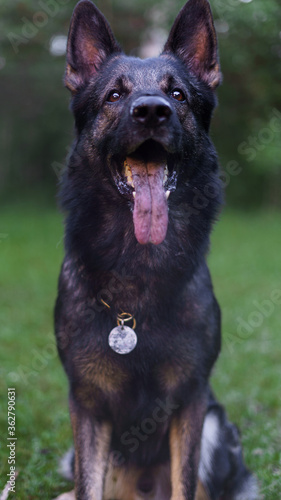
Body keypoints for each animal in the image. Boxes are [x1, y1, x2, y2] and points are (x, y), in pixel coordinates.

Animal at [53, 0, 258, 500]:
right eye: (113, 95)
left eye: (178, 95)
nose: (151, 112)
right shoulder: (88, 405)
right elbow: (88, 486)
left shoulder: (191, 400)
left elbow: (186, 482)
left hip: (215, 427)